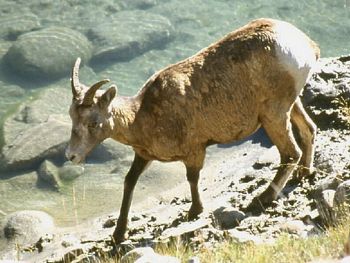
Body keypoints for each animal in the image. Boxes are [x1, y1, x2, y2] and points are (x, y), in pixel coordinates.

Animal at [65, 18, 320, 245]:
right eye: (71, 116)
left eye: (93, 123)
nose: (71, 156)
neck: (143, 116)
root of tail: (308, 47)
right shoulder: (144, 156)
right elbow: (129, 182)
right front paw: (118, 234)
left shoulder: (194, 150)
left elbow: (192, 178)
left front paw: (195, 210)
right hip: (291, 105)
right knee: (309, 130)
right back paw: (303, 174)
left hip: (274, 114)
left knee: (290, 152)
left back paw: (261, 199)